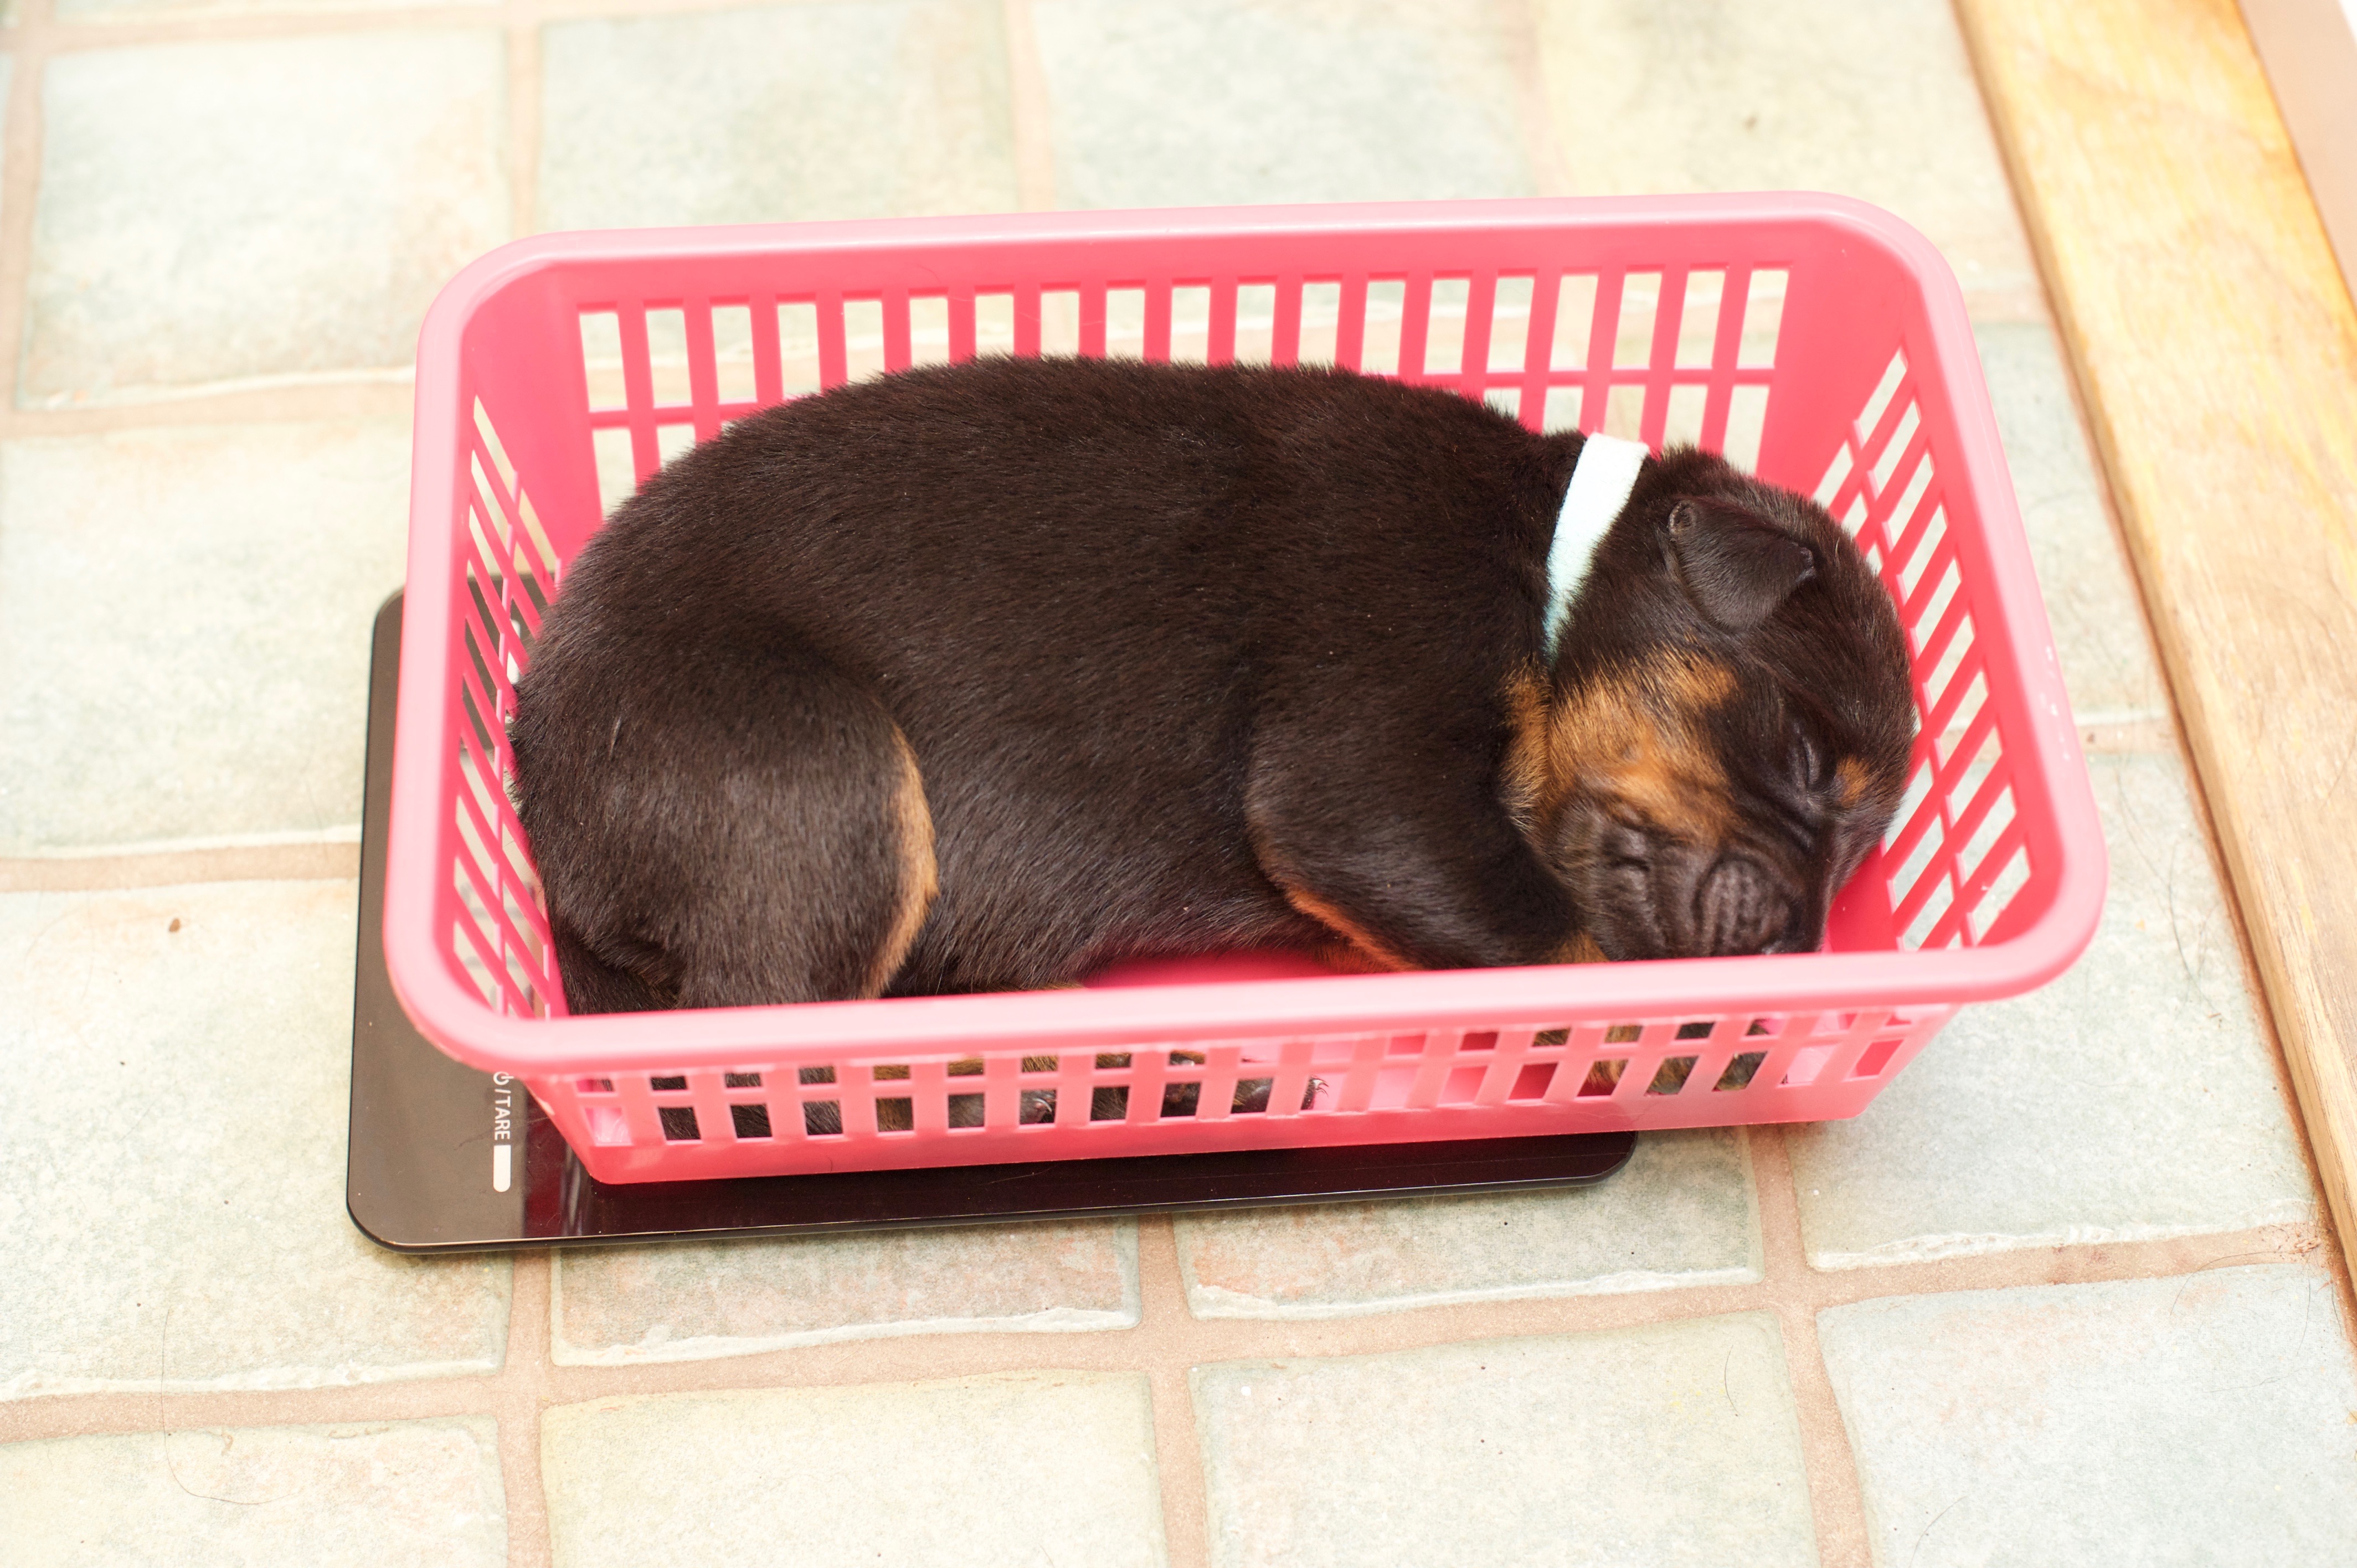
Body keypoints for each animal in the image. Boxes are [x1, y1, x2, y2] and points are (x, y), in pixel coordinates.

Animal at [509, 355, 1915, 1024]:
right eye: (1802, 755)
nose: (1799, 951)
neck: (1552, 577)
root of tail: (538, 776)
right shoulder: (1365, 777)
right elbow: (1559, 933)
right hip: (828, 784)